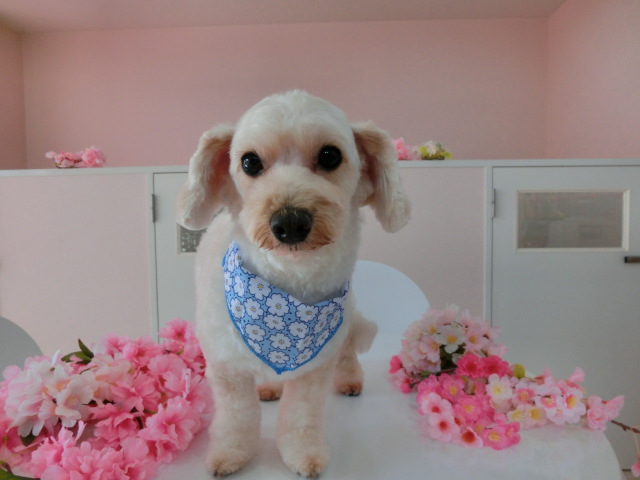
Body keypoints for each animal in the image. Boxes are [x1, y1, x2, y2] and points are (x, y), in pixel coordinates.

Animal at [176, 90, 410, 477]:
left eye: (330, 155)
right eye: (249, 162)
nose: (289, 222)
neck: (288, 286)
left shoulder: (315, 369)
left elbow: (302, 416)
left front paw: (304, 454)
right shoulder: (226, 367)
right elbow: (235, 418)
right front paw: (230, 453)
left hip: (347, 323)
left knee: (348, 352)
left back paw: (349, 380)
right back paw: (270, 386)